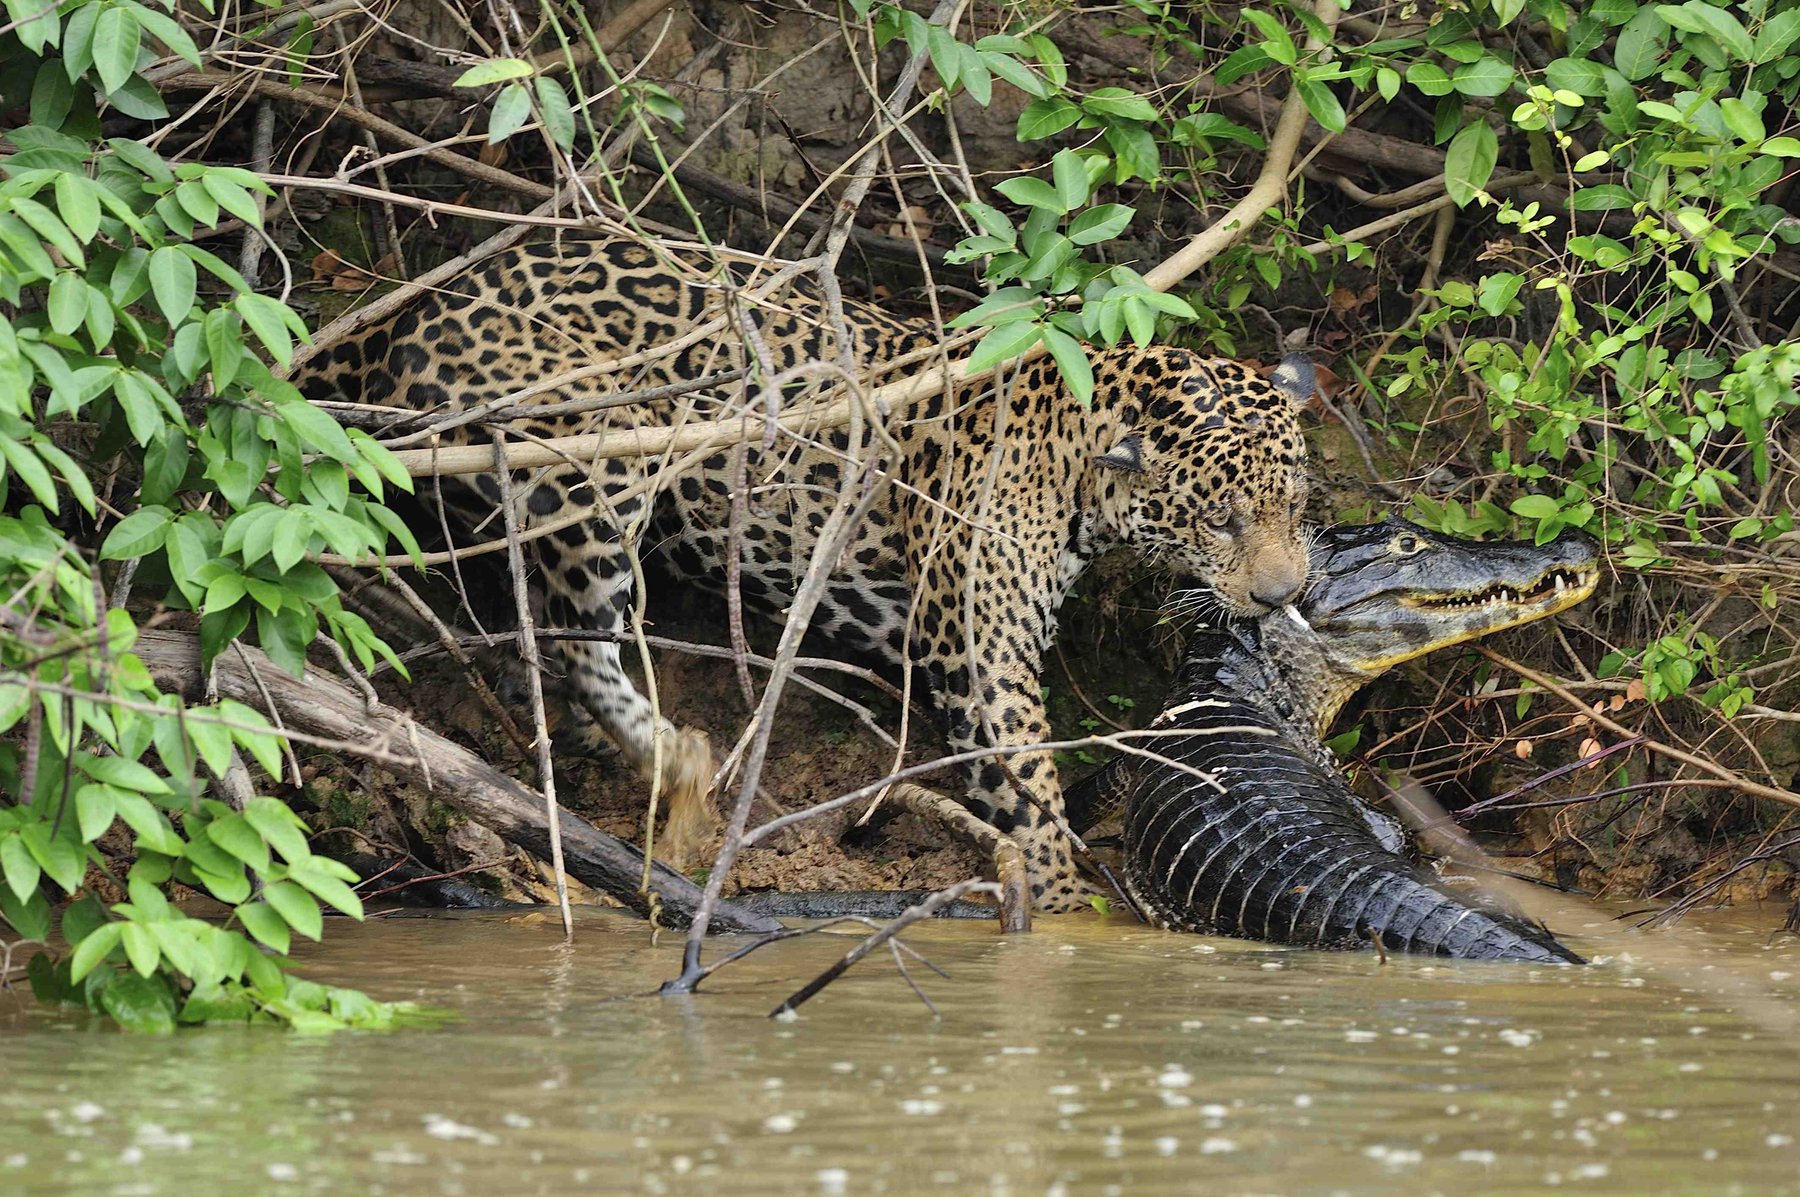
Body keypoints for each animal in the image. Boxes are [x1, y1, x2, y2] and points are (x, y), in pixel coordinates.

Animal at [293, 236, 1316, 913]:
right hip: (604, 460)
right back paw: (676, 757)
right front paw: (1068, 915)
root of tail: (421, 305)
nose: (1282, 596)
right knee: (589, 638)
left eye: (1297, 505)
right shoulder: (979, 651)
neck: (1079, 459)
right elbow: (1027, 788)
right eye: (1221, 518)